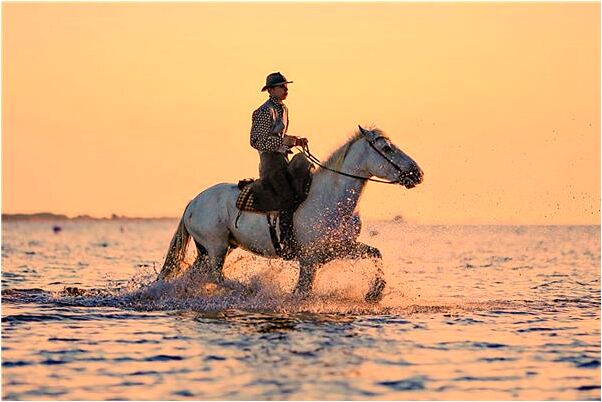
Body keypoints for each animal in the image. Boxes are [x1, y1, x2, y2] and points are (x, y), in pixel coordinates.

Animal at [157, 125, 424, 302]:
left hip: (212, 249)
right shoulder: (309, 259)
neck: (331, 200)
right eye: (387, 148)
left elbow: (375, 253)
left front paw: (374, 293)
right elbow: (303, 291)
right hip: (216, 247)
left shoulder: (339, 249)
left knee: (197, 275)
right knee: (215, 277)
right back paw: (249, 289)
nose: (417, 173)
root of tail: (193, 202)